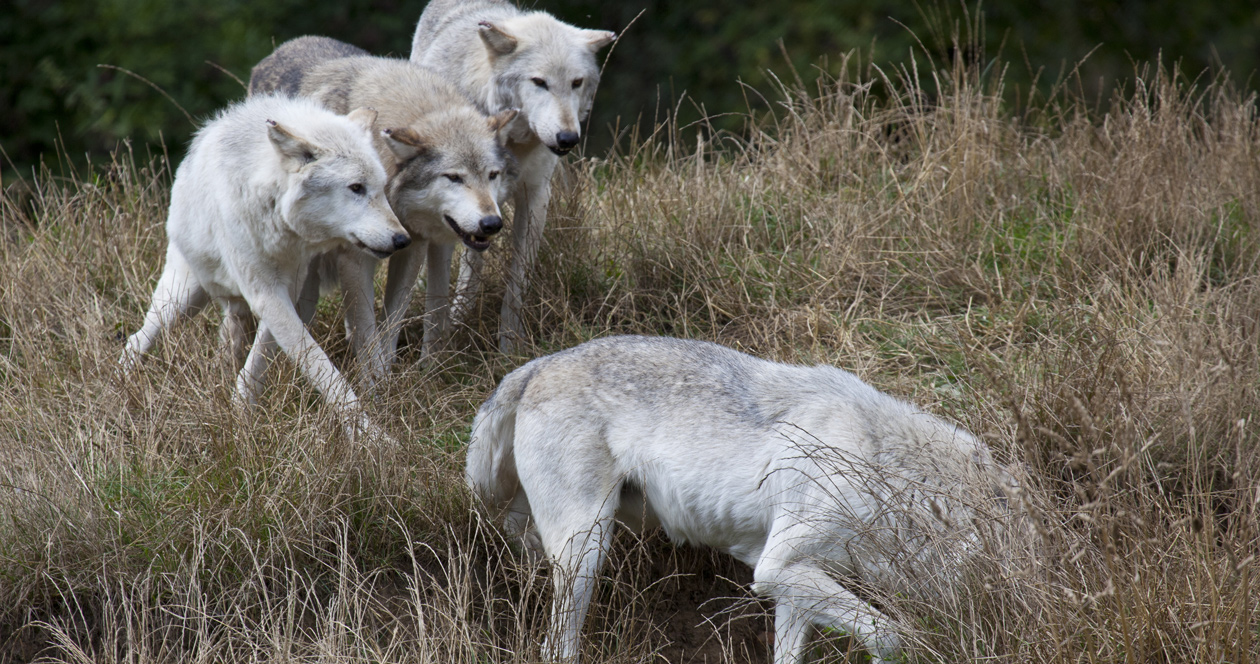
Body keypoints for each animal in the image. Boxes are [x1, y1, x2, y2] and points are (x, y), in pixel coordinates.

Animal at [119, 94, 408, 433]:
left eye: (380, 187)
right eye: (356, 188)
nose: (402, 240)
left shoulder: (287, 290)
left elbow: (259, 363)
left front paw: (240, 414)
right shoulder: (266, 293)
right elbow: (321, 367)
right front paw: (371, 435)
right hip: (182, 300)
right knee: (138, 339)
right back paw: (122, 385)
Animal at [249, 36, 519, 381]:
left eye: (492, 175)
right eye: (454, 178)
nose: (491, 224)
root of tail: (279, 50)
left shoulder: (412, 246)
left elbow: (392, 320)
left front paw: (392, 376)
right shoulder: (354, 258)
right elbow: (367, 329)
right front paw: (376, 384)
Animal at [411, 0, 616, 353]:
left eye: (576, 83)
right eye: (539, 82)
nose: (567, 138)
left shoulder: (535, 197)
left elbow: (517, 280)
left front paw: (510, 347)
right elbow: (445, 288)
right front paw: (441, 345)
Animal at [468, 336, 1022, 664]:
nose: (1017, 619)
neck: (885, 473)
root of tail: (533, 368)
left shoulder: (794, 586)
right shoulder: (776, 569)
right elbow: (891, 636)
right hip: (587, 552)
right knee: (554, 647)